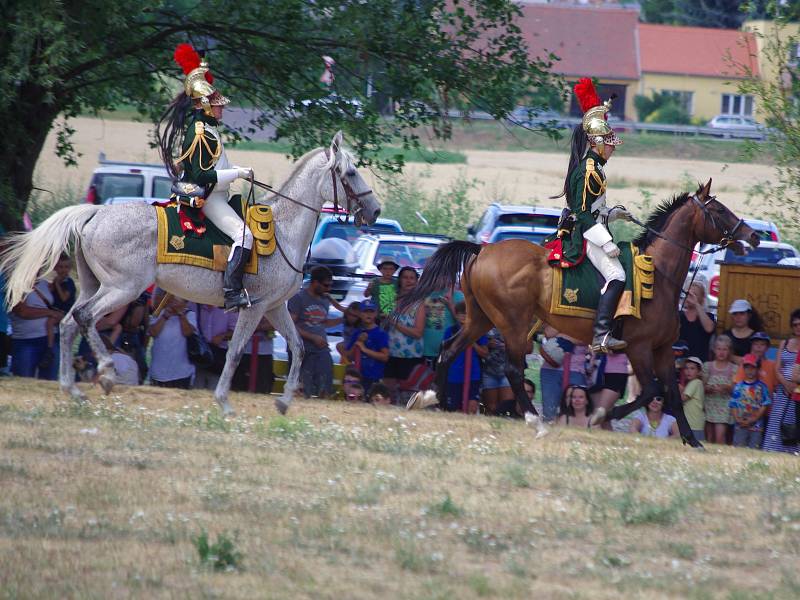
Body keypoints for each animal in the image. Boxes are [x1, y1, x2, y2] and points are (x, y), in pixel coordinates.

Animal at [1, 131, 382, 414]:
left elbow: (300, 347)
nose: (376, 210)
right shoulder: (255, 307)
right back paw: (107, 373)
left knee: (68, 323)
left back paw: (73, 389)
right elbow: (236, 350)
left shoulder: (275, 307)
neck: (283, 232)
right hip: (122, 288)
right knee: (84, 318)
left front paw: (285, 402)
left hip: (95, 285)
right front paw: (224, 402)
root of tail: (95, 212)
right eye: (349, 173)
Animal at [396, 180, 760, 448]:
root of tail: (483, 249)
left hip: (480, 319)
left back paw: (430, 397)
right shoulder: (639, 348)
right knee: (512, 369)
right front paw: (602, 416)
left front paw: (691, 440)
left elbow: (670, 390)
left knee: (449, 350)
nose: (754, 236)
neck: (659, 275)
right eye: (719, 210)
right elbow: (651, 389)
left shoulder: (662, 349)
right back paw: (536, 421)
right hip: (512, 323)